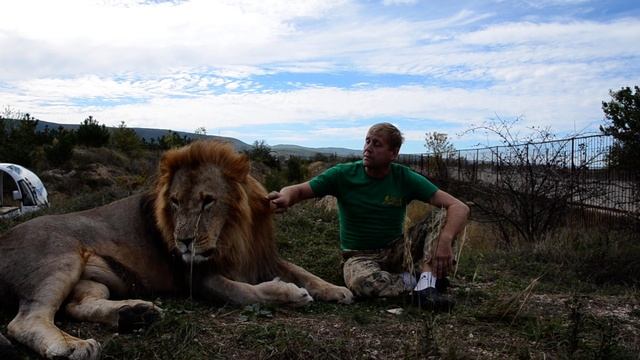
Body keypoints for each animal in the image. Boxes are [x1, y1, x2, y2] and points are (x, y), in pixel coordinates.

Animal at [0, 141, 350, 360]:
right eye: (175, 202)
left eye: (208, 201)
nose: (183, 242)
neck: (233, 234)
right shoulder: (197, 278)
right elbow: (245, 293)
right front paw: (290, 294)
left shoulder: (261, 256)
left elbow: (302, 271)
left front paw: (336, 290)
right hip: (60, 259)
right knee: (26, 320)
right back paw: (72, 347)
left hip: (95, 278)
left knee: (77, 305)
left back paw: (135, 314)